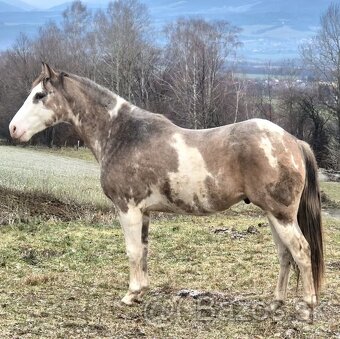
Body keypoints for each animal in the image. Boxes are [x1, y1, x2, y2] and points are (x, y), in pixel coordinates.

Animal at [9, 64, 322, 322]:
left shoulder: (128, 209)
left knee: (301, 251)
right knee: (284, 254)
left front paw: (130, 295)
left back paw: (307, 309)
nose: (13, 128)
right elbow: (144, 251)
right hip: (271, 214)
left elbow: (133, 251)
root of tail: (293, 140)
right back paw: (276, 304)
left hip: (281, 215)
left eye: (39, 95)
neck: (122, 134)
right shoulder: (143, 212)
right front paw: (140, 292)